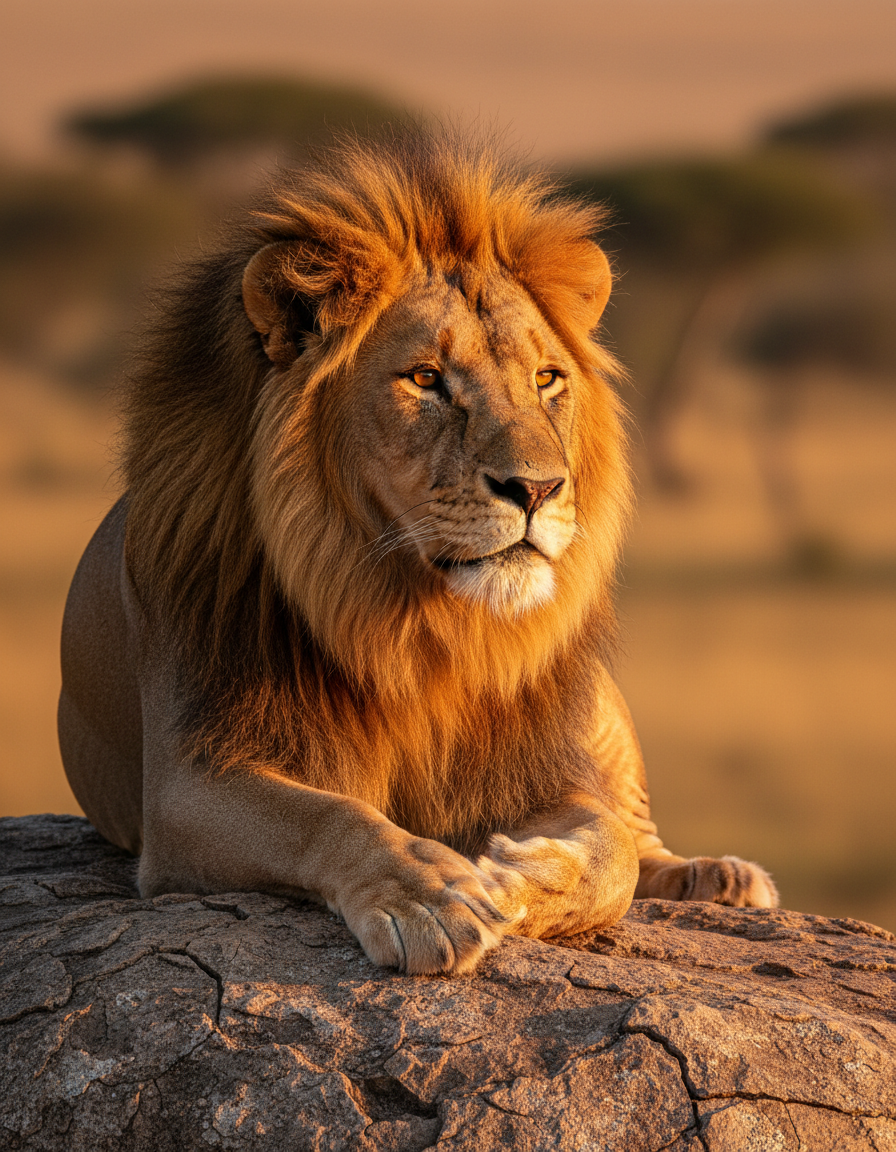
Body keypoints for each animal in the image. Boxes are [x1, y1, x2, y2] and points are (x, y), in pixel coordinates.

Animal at [59, 131, 777, 975]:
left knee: (640, 831)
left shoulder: (540, 763)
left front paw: (521, 876)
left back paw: (721, 877)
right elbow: (332, 815)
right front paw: (428, 897)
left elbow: (612, 852)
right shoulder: (188, 781)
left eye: (547, 378)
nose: (538, 487)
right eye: (426, 379)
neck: (420, 624)